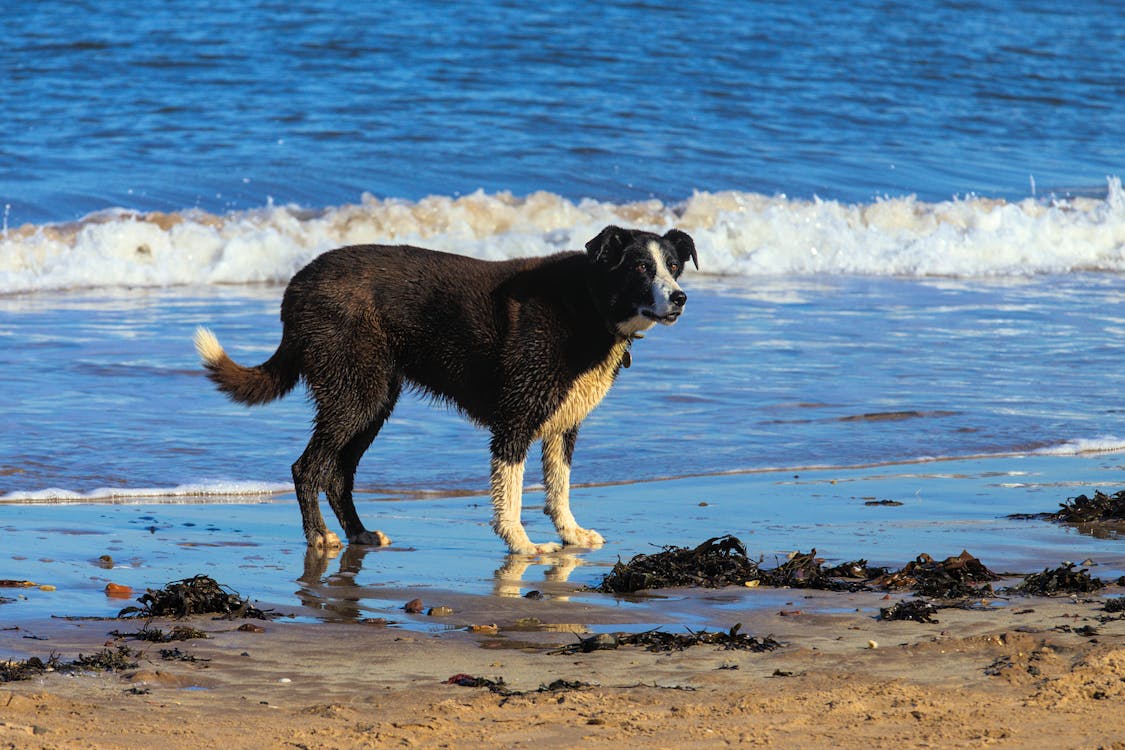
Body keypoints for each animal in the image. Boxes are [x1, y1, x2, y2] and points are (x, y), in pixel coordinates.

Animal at [198, 226, 697, 555]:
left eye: (674, 266)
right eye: (640, 266)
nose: (679, 298)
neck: (589, 302)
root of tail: (296, 286)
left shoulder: (562, 424)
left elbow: (559, 488)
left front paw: (571, 535)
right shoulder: (516, 418)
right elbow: (512, 492)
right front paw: (522, 544)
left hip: (374, 399)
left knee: (337, 474)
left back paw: (360, 533)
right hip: (355, 392)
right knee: (307, 468)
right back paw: (320, 535)